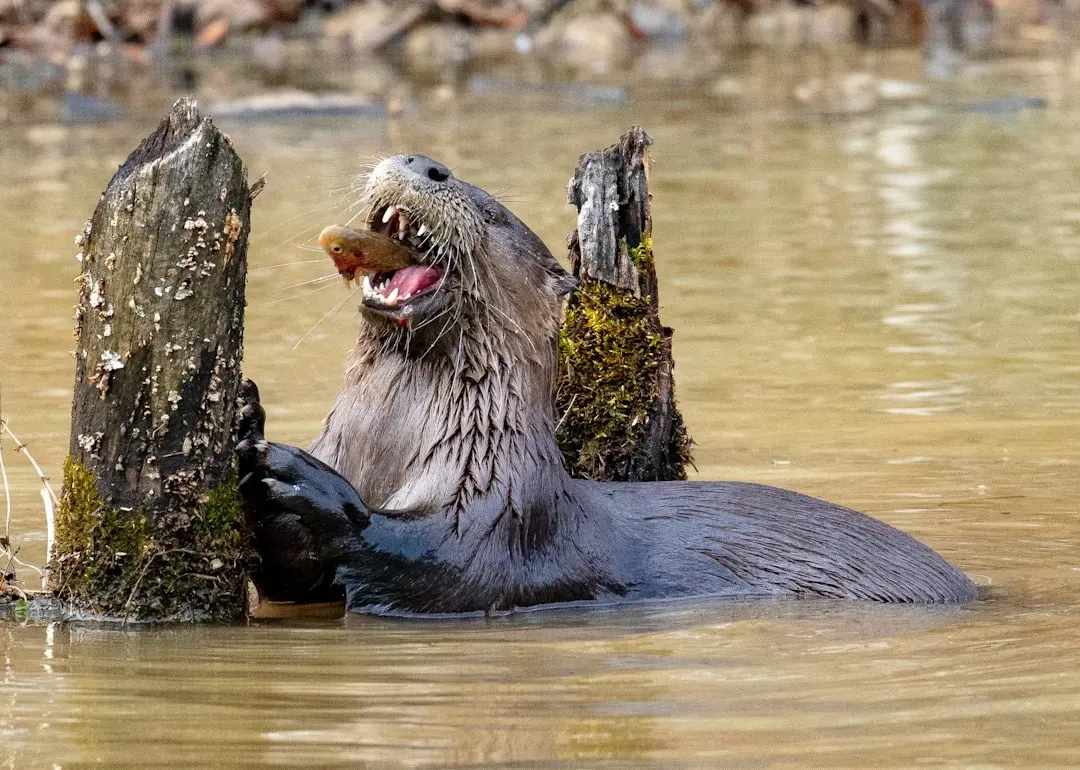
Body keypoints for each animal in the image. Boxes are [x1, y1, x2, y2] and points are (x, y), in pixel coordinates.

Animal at [237, 154, 977, 614]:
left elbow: (439, 562)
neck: (385, 451)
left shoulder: (509, 515)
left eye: (493, 213)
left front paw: (311, 488)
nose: (423, 163)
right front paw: (248, 418)